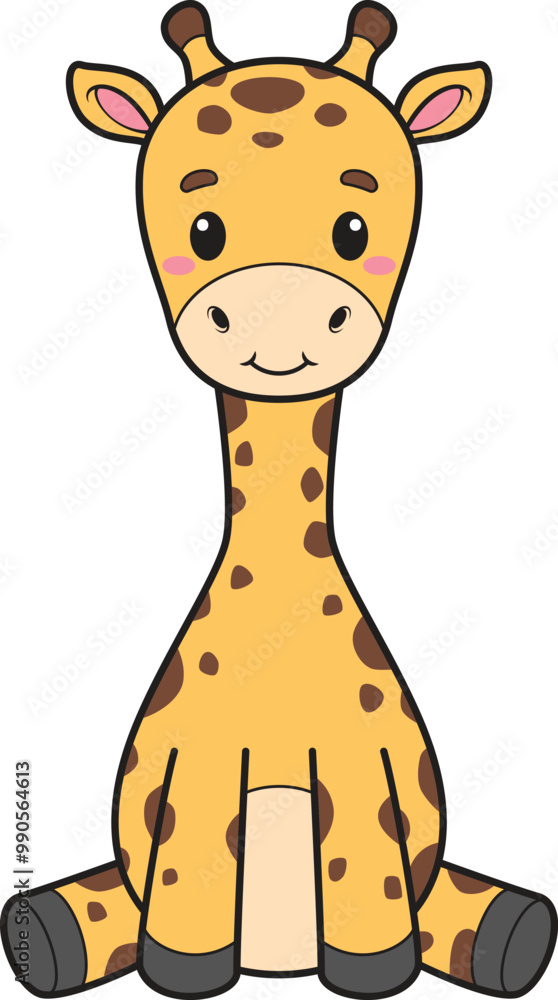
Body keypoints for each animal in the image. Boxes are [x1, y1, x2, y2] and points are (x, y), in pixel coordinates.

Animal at [2, 2, 557, 998]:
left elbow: (374, 904)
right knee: (89, 914)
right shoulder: (194, 786)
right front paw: (185, 972)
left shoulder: (363, 786)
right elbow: (183, 901)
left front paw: (373, 972)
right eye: (204, 228)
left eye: (353, 228)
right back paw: (44, 928)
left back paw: (515, 931)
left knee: (472, 915)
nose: (280, 317)